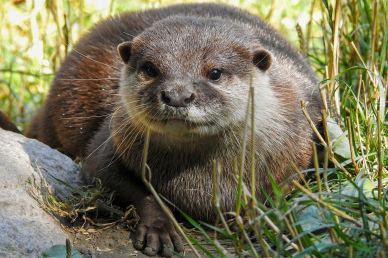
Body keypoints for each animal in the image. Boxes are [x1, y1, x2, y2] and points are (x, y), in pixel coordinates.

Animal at [22, 3, 322, 256]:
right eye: (151, 69)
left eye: (214, 72)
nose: (177, 95)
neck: (200, 181)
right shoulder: (111, 141)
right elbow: (108, 174)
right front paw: (159, 226)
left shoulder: (294, 154)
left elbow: (280, 192)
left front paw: (257, 220)